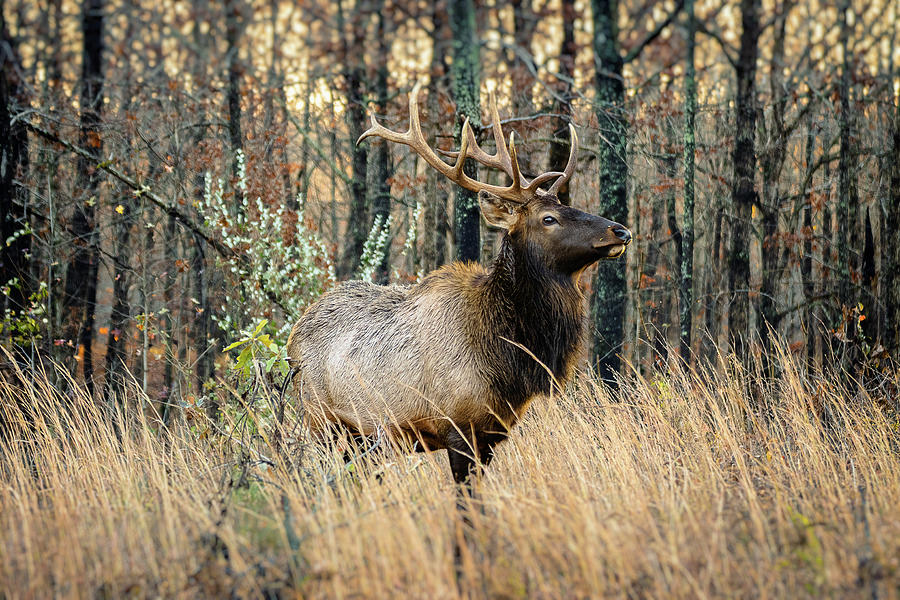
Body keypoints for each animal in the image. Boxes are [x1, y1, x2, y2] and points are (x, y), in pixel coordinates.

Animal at [288, 84, 632, 486]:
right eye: (549, 218)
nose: (620, 230)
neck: (506, 354)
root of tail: (293, 334)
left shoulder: (492, 433)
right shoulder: (457, 426)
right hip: (321, 419)